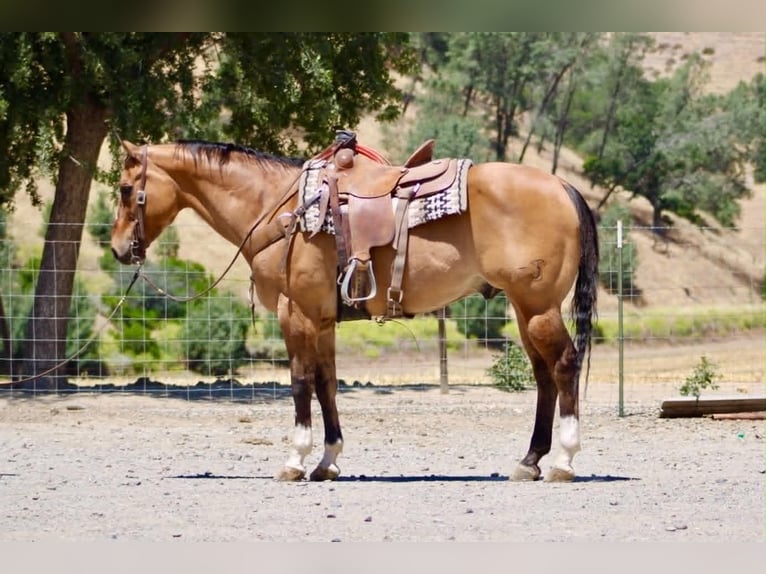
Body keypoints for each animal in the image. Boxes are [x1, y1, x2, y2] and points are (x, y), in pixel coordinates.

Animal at [110, 136, 598, 483]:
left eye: (125, 189)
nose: (118, 249)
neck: (280, 210)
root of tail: (561, 185)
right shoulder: (323, 320)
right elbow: (327, 385)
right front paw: (328, 461)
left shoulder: (296, 314)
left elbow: (300, 382)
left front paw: (295, 459)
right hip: (526, 309)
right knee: (543, 376)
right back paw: (529, 460)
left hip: (538, 306)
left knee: (564, 365)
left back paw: (564, 461)